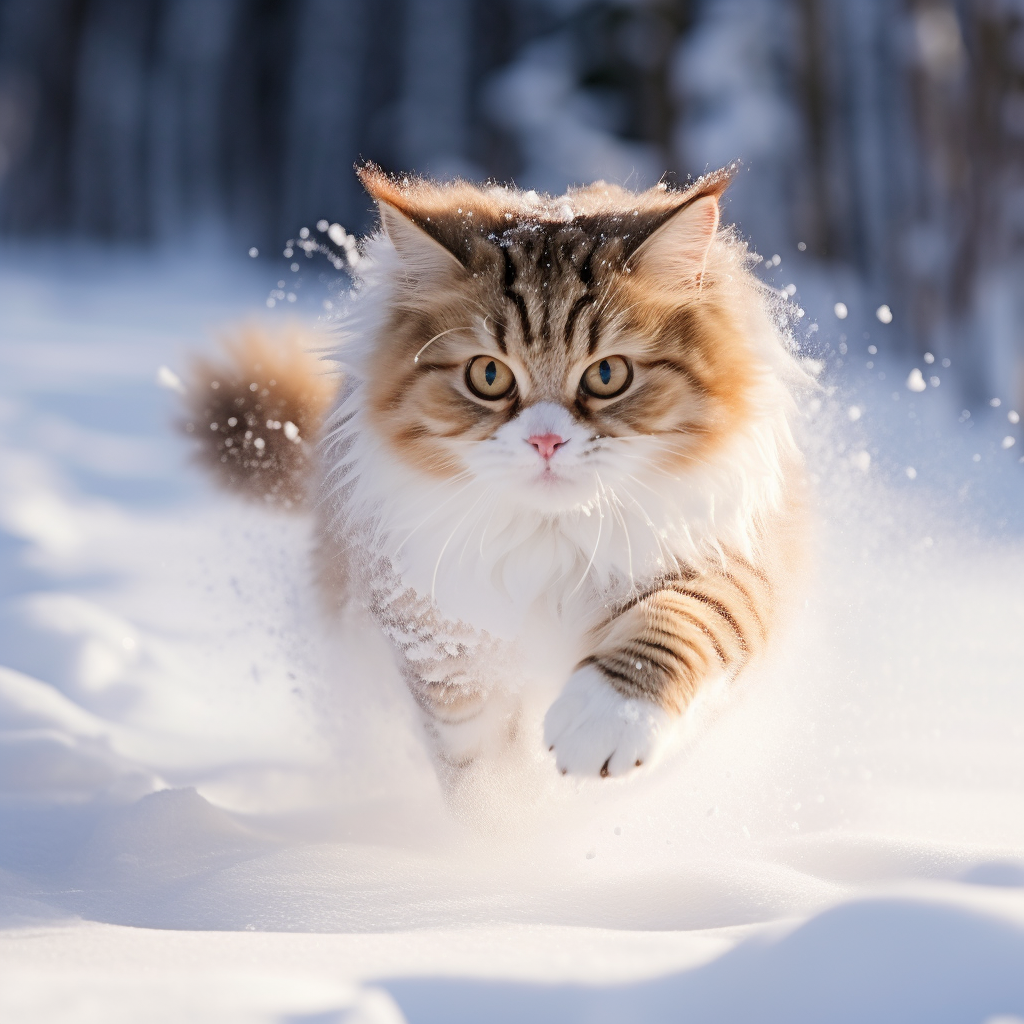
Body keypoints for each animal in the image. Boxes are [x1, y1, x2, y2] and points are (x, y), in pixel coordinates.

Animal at [184, 163, 806, 778]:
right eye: (488, 375)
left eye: (608, 375)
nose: (546, 441)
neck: (551, 543)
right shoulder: (438, 639)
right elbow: (478, 764)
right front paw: (505, 806)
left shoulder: (730, 551)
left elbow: (680, 617)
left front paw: (604, 722)